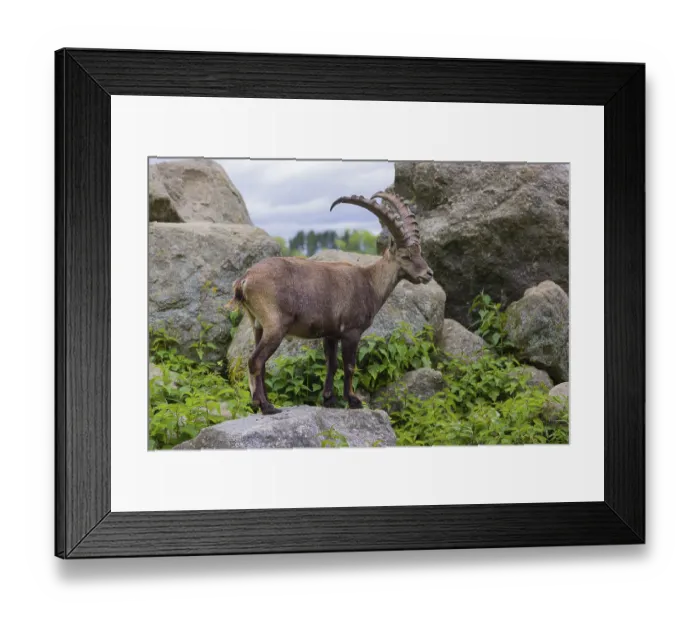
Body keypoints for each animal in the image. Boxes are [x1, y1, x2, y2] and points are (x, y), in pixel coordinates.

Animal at [230, 192, 433, 415]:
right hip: (275, 326)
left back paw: (263, 403)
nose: (428, 273)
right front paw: (353, 400)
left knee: (261, 362)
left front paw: (329, 399)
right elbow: (350, 365)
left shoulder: (330, 333)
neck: (370, 281)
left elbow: (331, 364)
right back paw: (265, 406)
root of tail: (245, 279)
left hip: (257, 325)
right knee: (255, 360)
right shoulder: (352, 331)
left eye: (420, 252)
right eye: (406, 255)